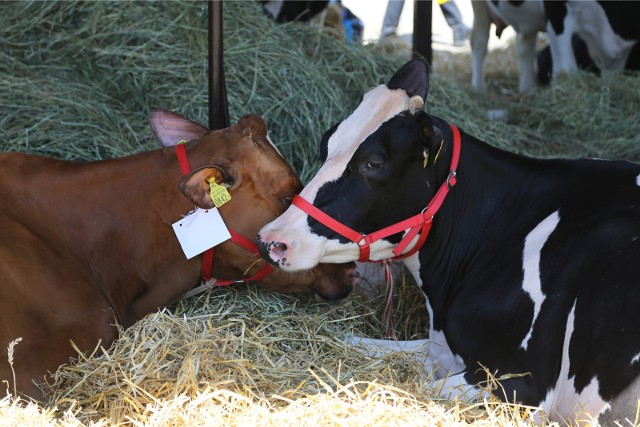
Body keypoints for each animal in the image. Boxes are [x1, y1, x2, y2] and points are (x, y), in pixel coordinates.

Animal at [258, 58, 640, 426]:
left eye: (373, 163)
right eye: (327, 140)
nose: (272, 240)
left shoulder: (521, 383)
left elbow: (413, 385)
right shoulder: (441, 346)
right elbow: (352, 341)